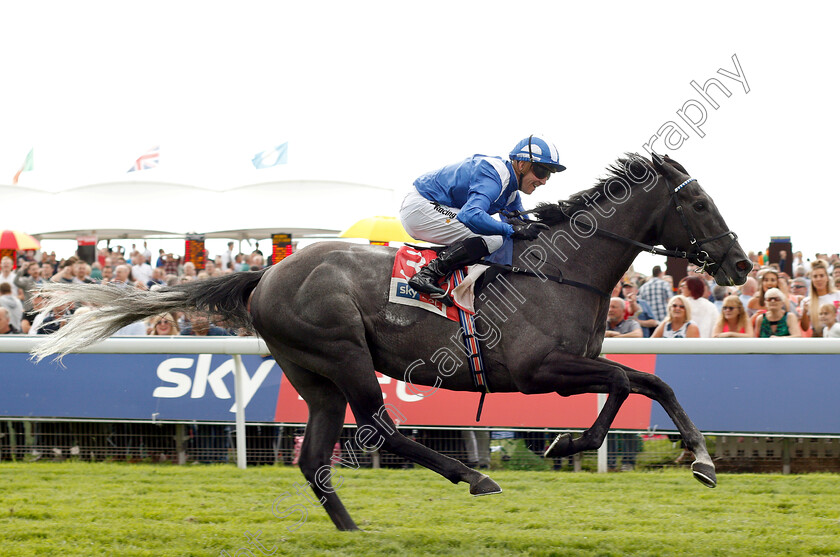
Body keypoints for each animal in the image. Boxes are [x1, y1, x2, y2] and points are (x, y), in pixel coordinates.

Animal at [36, 152, 752, 528]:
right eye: (699, 205)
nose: (741, 264)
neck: (557, 270)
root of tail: (267, 274)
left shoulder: (576, 362)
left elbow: (653, 380)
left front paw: (701, 459)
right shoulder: (539, 370)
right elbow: (626, 382)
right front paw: (566, 442)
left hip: (313, 377)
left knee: (315, 458)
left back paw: (352, 530)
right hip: (343, 353)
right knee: (380, 430)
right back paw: (472, 476)